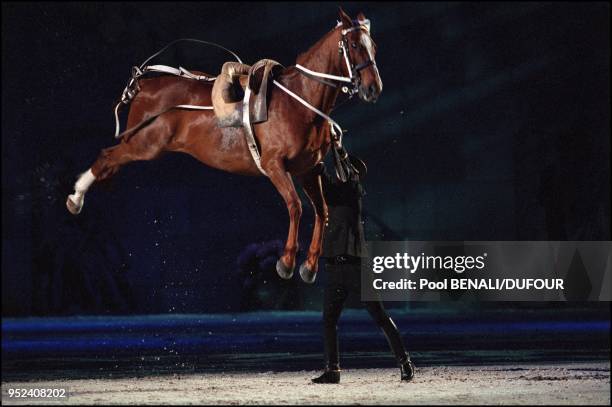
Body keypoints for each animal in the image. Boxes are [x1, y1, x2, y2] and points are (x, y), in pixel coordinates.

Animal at [67, 9, 382, 284]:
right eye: (354, 44)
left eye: (374, 47)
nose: (373, 89)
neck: (300, 101)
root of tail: (146, 86)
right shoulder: (274, 165)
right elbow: (295, 206)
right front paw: (287, 262)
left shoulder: (308, 170)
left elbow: (322, 211)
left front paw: (310, 265)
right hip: (145, 144)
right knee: (107, 156)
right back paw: (76, 197)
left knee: (111, 160)